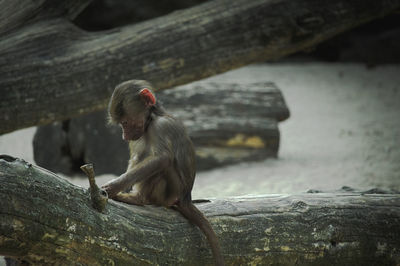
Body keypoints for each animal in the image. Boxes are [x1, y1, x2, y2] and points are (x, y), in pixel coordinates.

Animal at [101, 79, 223, 266]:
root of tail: (186, 198)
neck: (153, 118)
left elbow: (162, 159)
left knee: (162, 166)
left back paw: (138, 198)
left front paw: (113, 187)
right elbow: (136, 158)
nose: (124, 136)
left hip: (170, 192)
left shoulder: (161, 127)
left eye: (126, 122)